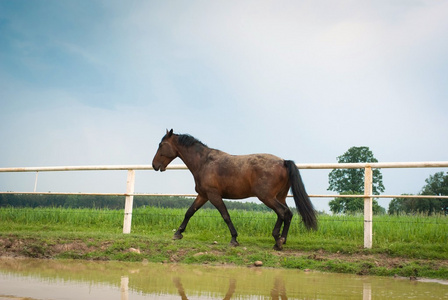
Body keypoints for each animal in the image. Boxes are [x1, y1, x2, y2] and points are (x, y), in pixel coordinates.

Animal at [152, 130, 316, 250]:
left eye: (161, 144)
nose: (154, 165)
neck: (204, 162)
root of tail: (283, 162)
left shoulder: (213, 195)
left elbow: (226, 216)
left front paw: (234, 239)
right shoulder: (203, 195)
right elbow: (189, 212)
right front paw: (178, 233)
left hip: (267, 197)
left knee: (283, 212)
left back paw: (278, 240)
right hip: (279, 197)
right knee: (288, 214)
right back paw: (282, 239)